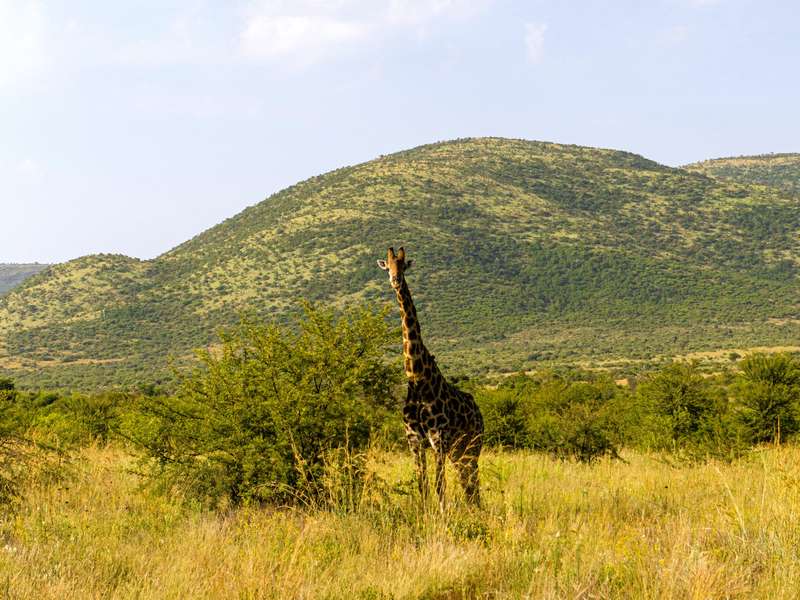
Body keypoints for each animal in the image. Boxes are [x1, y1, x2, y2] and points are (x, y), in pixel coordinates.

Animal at [377, 247, 483, 510]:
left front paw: (442, 514)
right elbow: (423, 485)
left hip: (472, 445)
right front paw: (425, 513)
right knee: (467, 481)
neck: (417, 378)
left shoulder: (439, 440)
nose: (395, 280)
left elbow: (439, 485)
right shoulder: (414, 441)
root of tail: (479, 412)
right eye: (388, 266)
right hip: (458, 450)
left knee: (473, 480)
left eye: (403, 266)